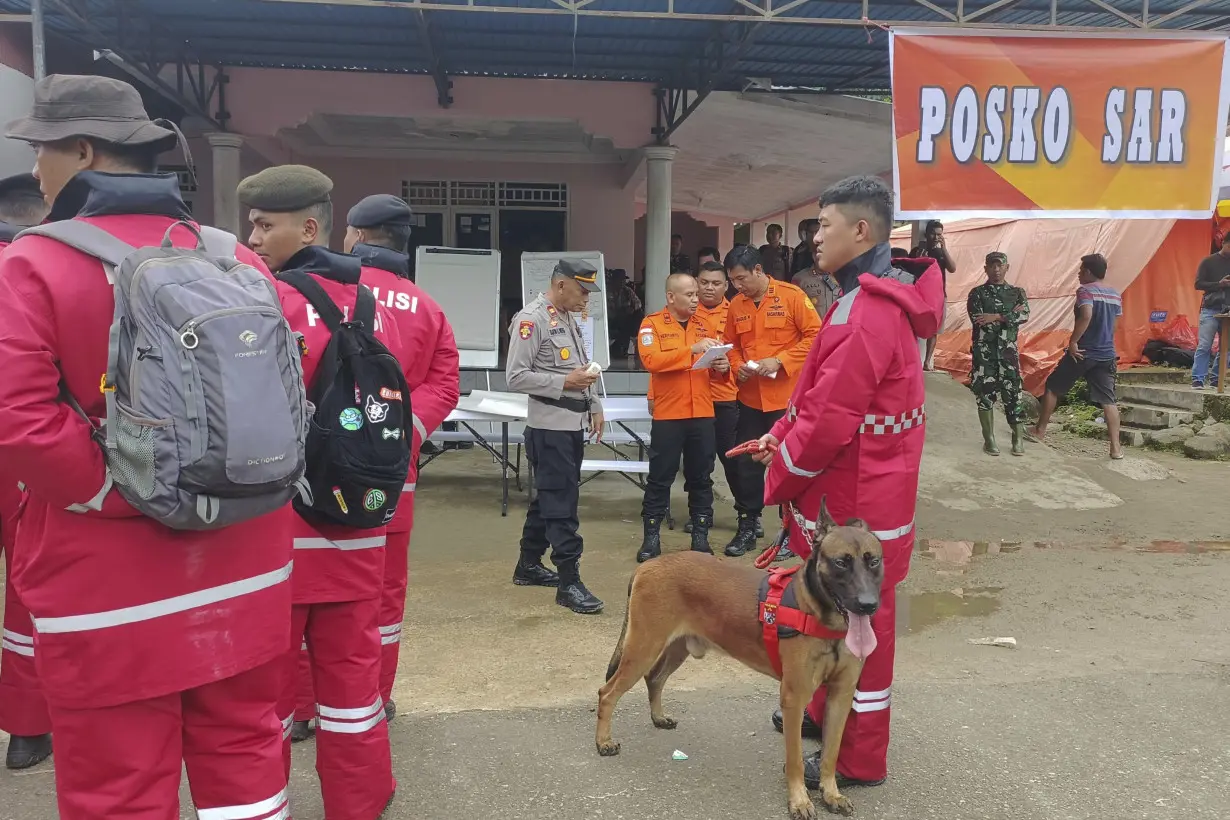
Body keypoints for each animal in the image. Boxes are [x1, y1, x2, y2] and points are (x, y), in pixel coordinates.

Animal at [595, 501, 885, 820]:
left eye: (873, 561)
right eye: (841, 562)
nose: (869, 605)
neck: (820, 615)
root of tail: (648, 565)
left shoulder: (840, 696)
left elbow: (831, 754)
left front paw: (831, 793)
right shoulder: (794, 698)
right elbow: (795, 759)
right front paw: (799, 800)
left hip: (676, 648)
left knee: (655, 678)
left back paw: (658, 717)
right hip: (643, 648)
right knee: (607, 692)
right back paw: (603, 742)